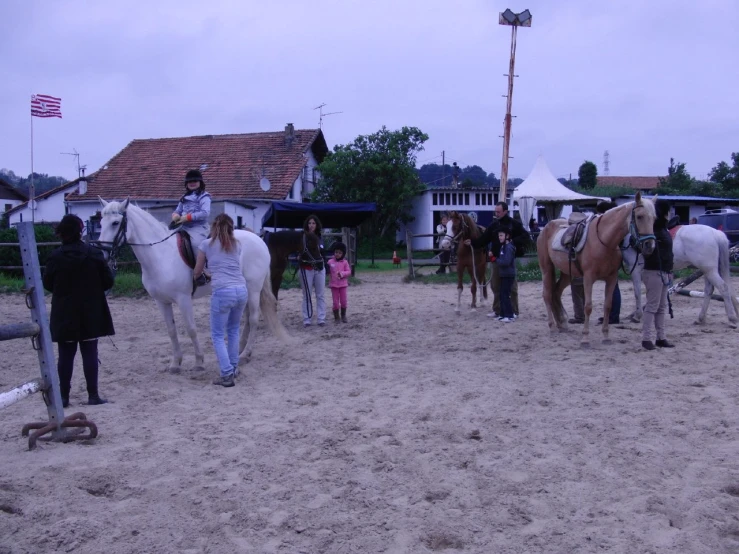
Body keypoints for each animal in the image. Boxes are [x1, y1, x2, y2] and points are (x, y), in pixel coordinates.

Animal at [96, 198, 286, 370]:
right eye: (100, 222)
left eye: (115, 223)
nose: (102, 254)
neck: (161, 255)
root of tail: (259, 240)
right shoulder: (161, 302)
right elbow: (171, 331)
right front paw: (175, 363)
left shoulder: (183, 299)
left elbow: (191, 329)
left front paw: (199, 361)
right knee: (246, 318)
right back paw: (240, 349)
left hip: (254, 289)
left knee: (253, 319)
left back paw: (246, 354)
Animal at [536, 192, 660, 342]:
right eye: (639, 216)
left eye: (654, 218)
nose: (649, 246)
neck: (604, 241)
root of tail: (547, 227)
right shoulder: (588, 278)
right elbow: (588, 307)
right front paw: (585, 338)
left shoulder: (611, 278)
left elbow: (608, 305)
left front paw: (606, 336)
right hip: (546, 268)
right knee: (547, 294)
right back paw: (552, 327)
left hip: (567, 273)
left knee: (556, 292)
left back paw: (562, 323)